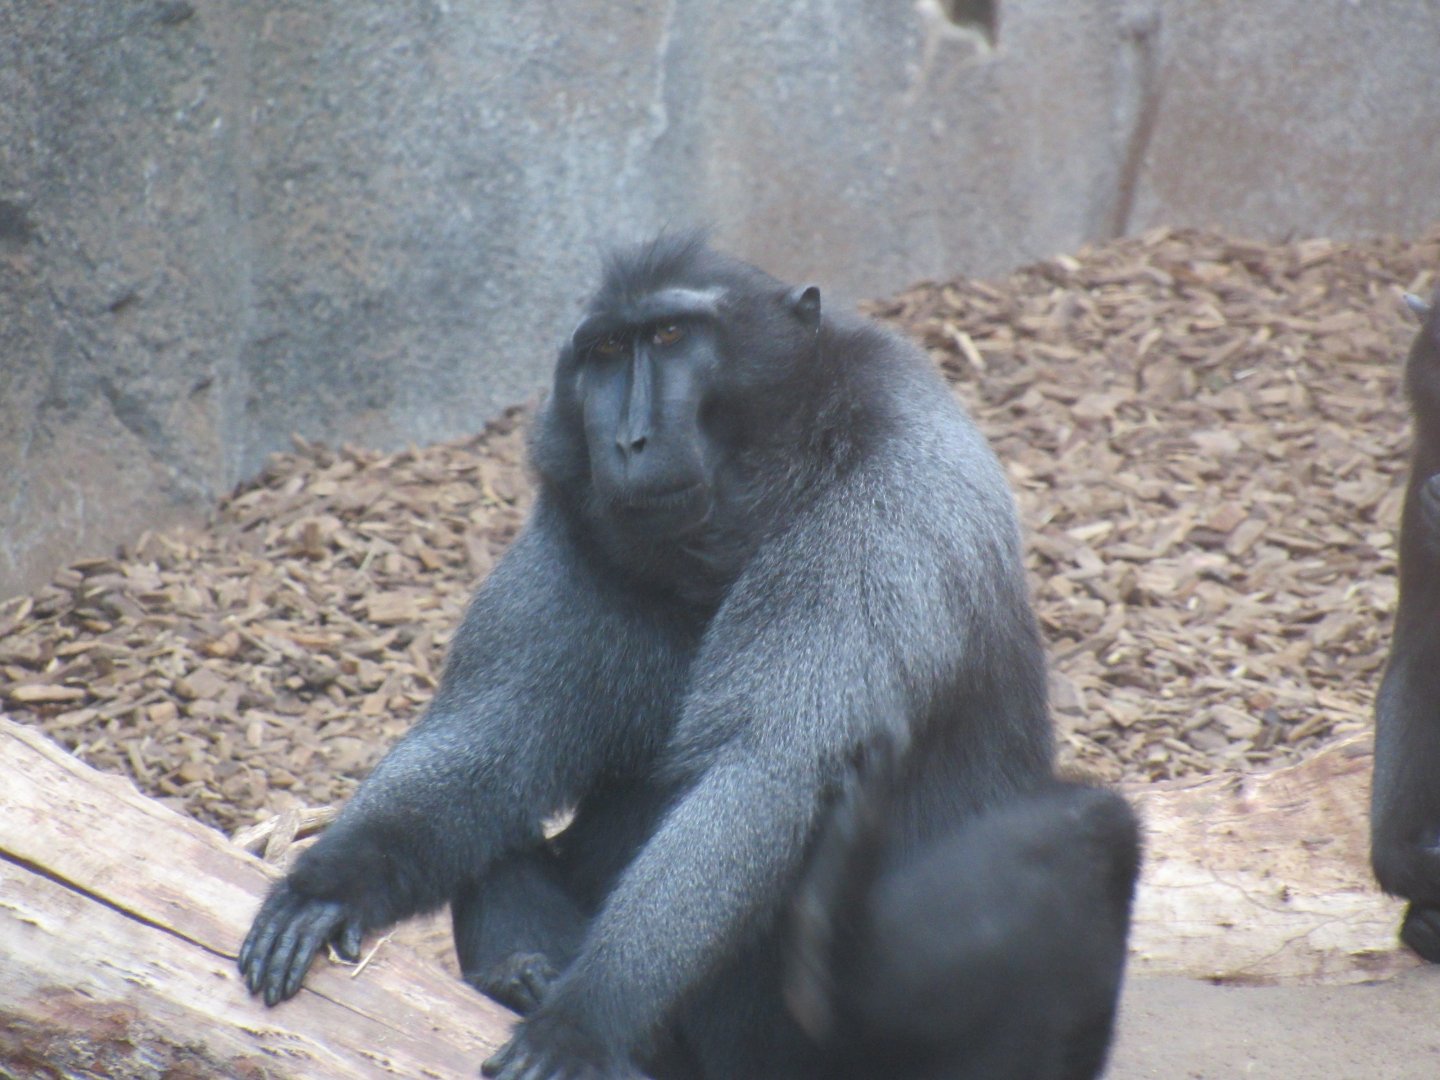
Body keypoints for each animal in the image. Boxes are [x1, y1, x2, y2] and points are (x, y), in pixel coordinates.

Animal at [239, 234, 1131, 1078]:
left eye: (671, 337)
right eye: (605, 352)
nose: (629, 439)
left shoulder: (891, 506)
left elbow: (763, 771)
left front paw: (584, 1016)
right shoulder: (575, 539)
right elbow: (488, 749)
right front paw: (325, 885)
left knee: (1090, 830)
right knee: (499, 839)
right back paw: (519, 977)